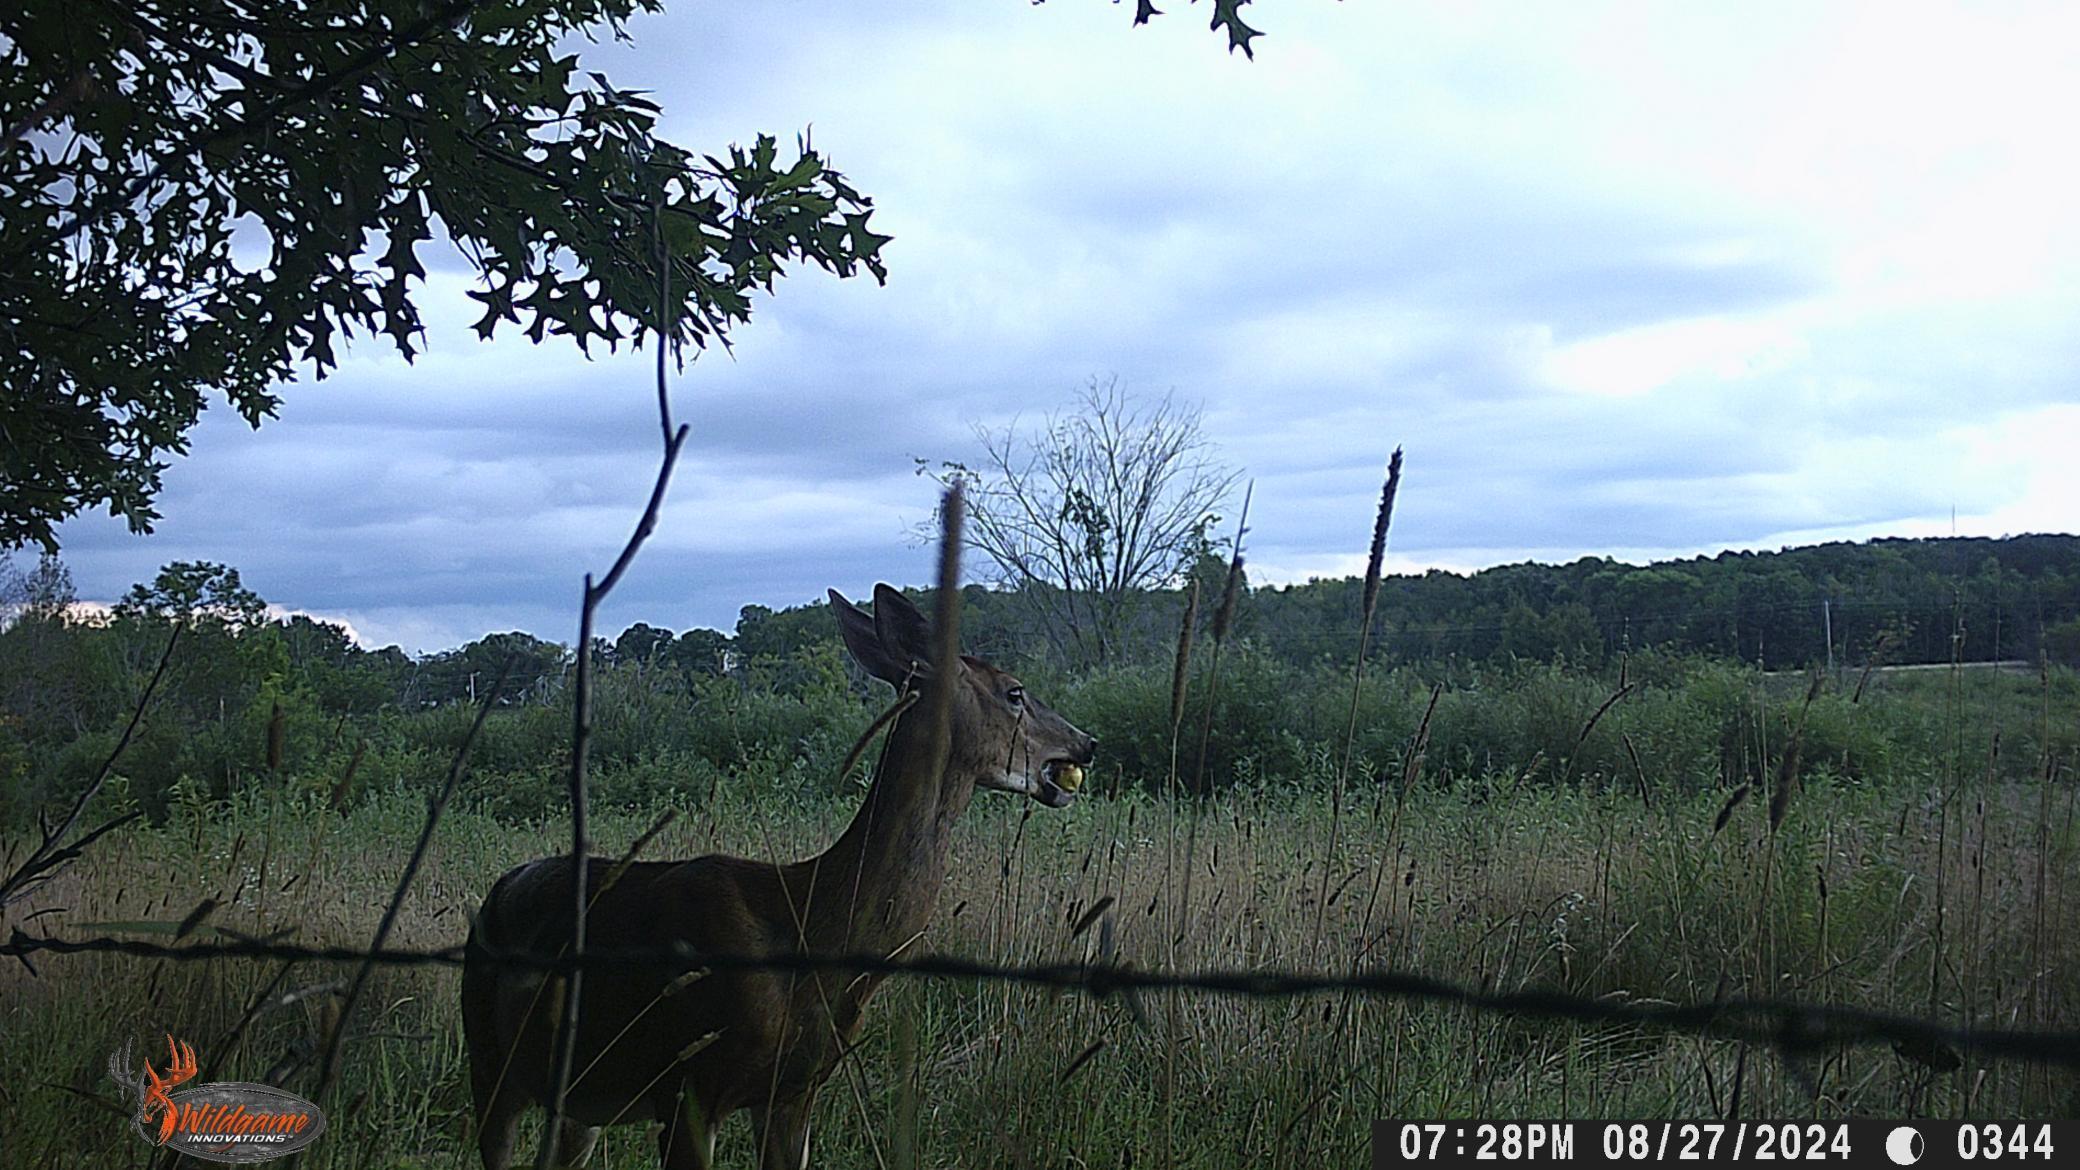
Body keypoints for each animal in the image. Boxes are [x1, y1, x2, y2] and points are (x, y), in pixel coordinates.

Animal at [463, 582, 1098, 1165]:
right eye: (1014, 691)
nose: (1086, 742)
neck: (810, 928)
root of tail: (496, 891)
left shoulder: (794, 1091)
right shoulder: (690, 1084)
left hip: (578, 1096)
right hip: (489, 1060)